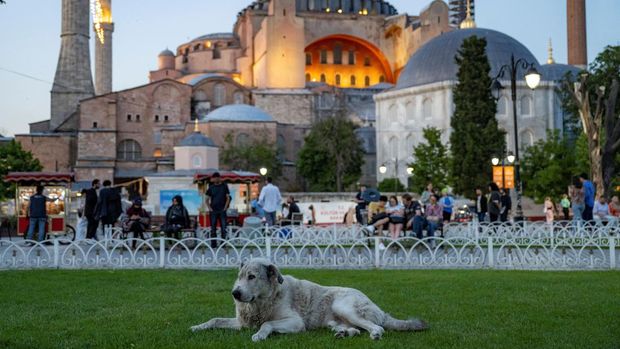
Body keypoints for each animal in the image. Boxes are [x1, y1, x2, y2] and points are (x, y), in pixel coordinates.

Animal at [189, 256, 426, 342]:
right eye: (239, 277)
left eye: (252, 277)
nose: (235, 293)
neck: (264, 299)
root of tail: (381, 311)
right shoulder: (241, 323)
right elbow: (215, 320)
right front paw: (197, 327)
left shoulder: (295, 322)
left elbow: (267, 324)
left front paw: (260, 335)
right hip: (336, 318)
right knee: (355, 329)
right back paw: (343, 333)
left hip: (344, 306)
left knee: (375, 327)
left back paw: (375, 334)